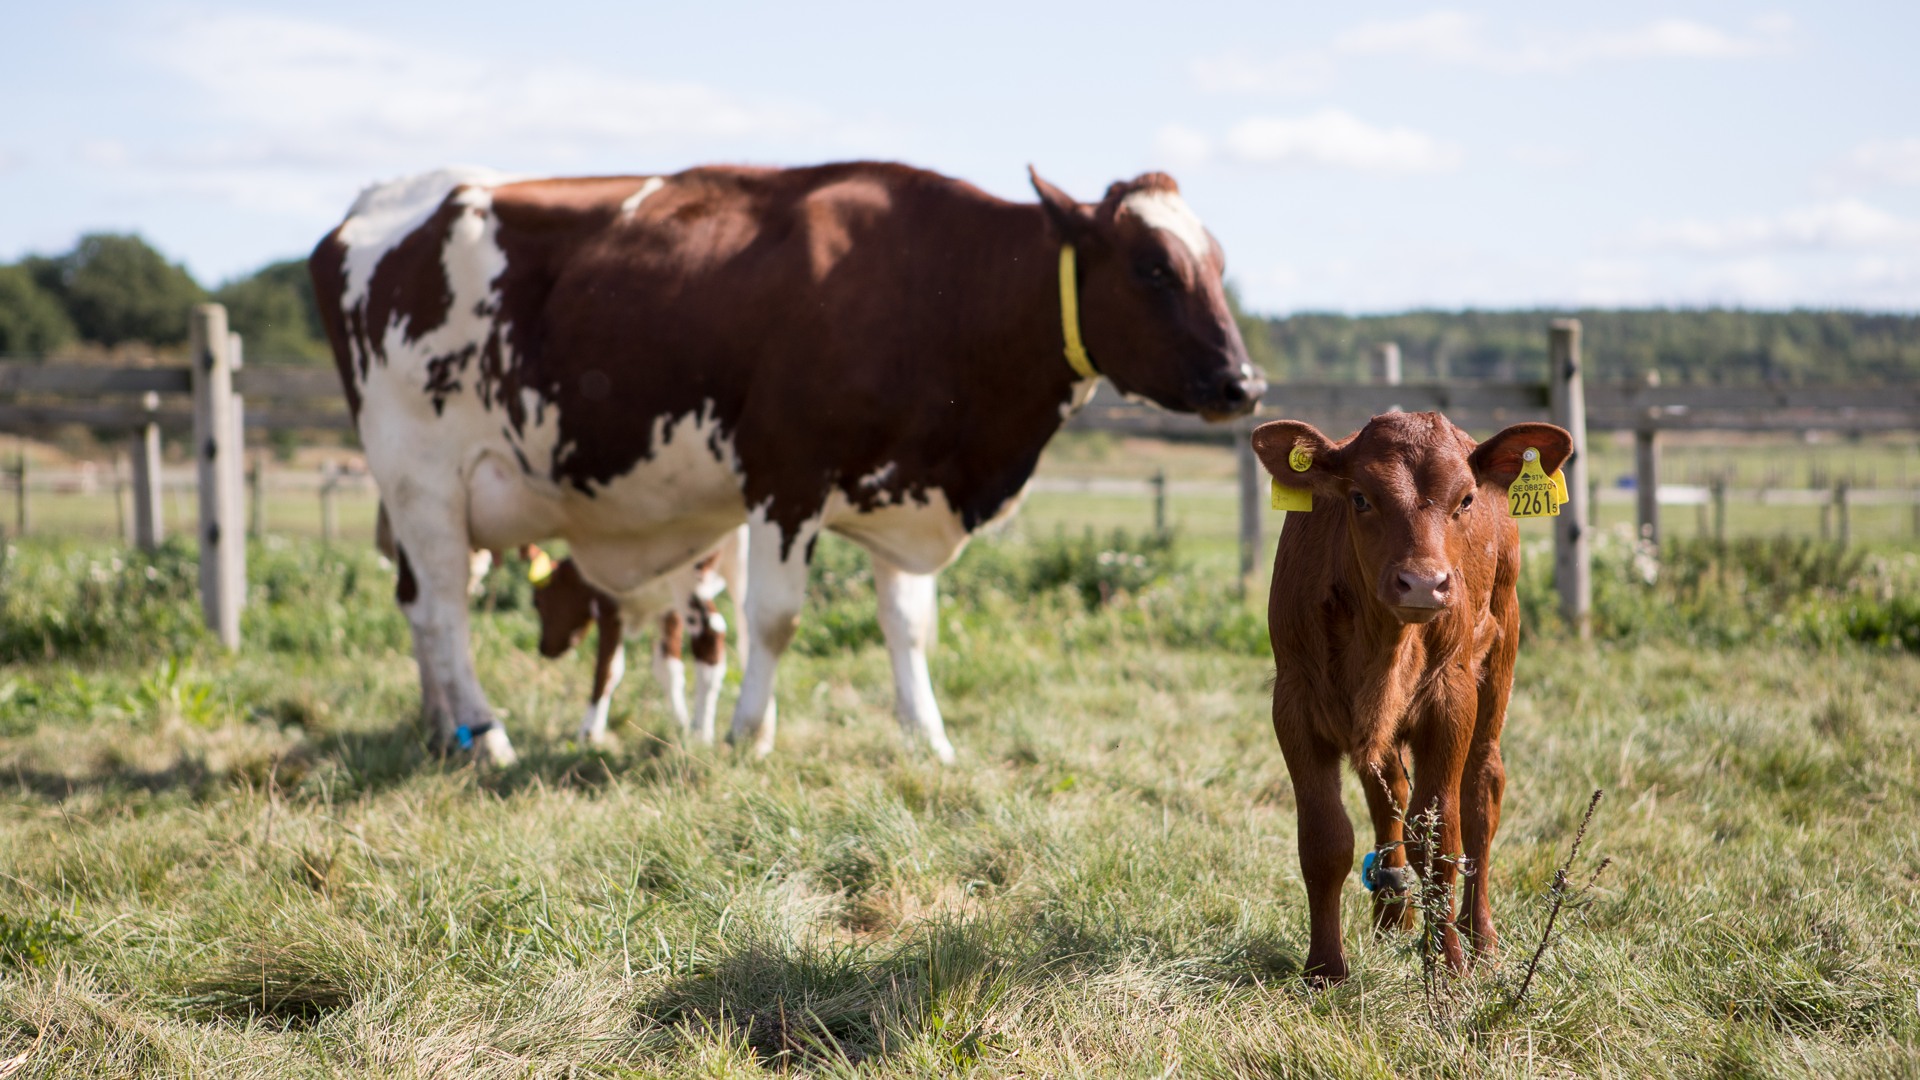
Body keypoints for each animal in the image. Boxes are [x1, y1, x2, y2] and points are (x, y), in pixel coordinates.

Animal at [527, 526, 745, 745]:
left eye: (536, 601)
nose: (543, 648)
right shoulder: (669, 610)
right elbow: (668, 668)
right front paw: (680, 721)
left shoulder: (608, 605)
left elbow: (607, 669)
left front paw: (590, 731)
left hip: (689, 576)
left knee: (711, 633)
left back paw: (701, 733)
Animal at [1251, 411, 1573, 984]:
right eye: (1359, 497)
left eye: (1465, 499)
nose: (1422, 583)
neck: (1381, 645)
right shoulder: (1293, 703)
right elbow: (1326, 839)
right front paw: (1325, 969)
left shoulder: (1451, 700)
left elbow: (1441, 838)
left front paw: (1449, 966)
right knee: (1392, 794)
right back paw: (1393, 913)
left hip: (1500, 657)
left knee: (1481, 793)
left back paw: (1480, 936)